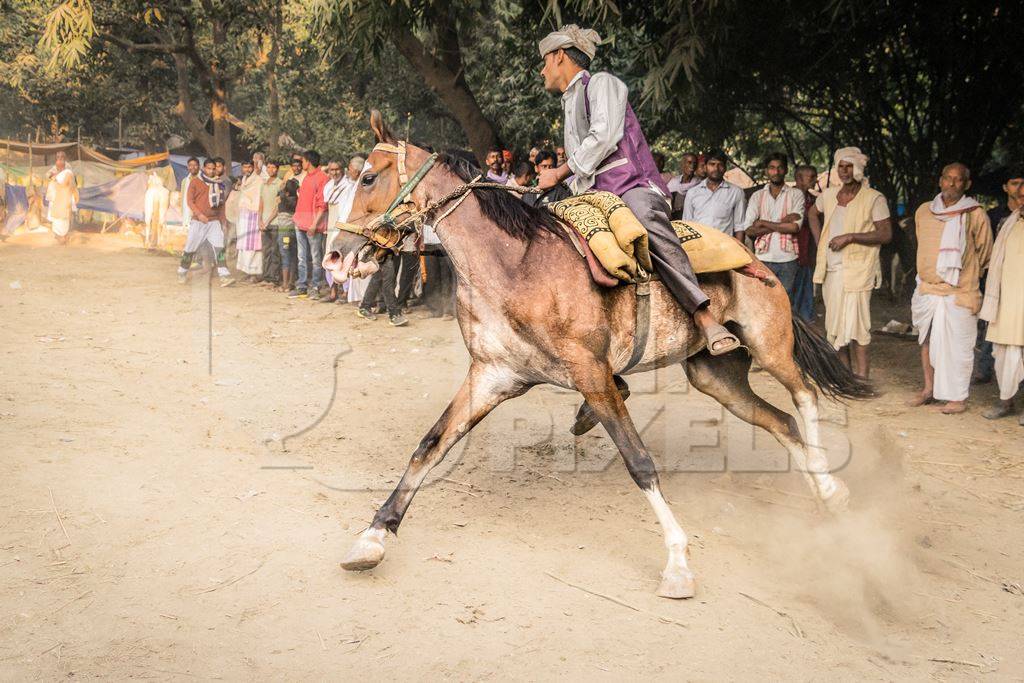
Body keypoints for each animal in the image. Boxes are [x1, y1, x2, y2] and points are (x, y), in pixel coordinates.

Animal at [329, 117, 872, 598]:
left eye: (368, 177)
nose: (336, 253)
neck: (514, 266)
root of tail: (755, 258)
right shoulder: (492, 376)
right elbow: (430, 446)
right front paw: (373, 537)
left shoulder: (593, 375)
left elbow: (639, 462)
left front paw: (677, 563)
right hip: (716, 377)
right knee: (781, 421)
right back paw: (824, 490)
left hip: (769, 345)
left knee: (804, 397)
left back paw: (830, 485)